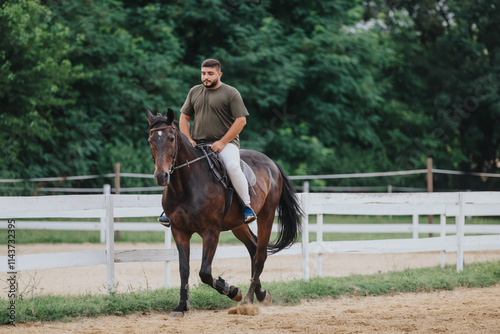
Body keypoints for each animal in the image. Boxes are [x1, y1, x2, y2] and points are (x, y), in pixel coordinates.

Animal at [144, 108, 300, 318]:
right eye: (150, 140)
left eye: (171, 138)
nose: (162, 176)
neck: (186, 186)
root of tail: (272, 163)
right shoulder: (179, 231)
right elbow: (184, 269)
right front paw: (181, 306)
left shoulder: (211, 231)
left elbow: (204, 272)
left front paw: (232, 290)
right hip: (238, 225)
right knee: (253, 249)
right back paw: (260, 294)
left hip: (266, 217)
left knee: (260, 255)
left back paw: (247, 301)